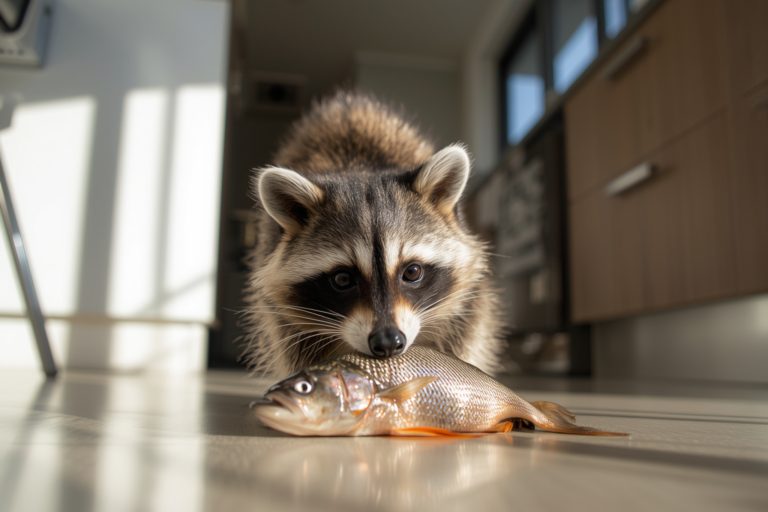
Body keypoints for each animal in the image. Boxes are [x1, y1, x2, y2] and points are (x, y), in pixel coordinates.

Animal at [244, 91, 503, 377]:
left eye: (412, 272)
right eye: (342, 279)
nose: (388, 341)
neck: (360, 169)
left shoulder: (466, 305)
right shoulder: (285, 323)